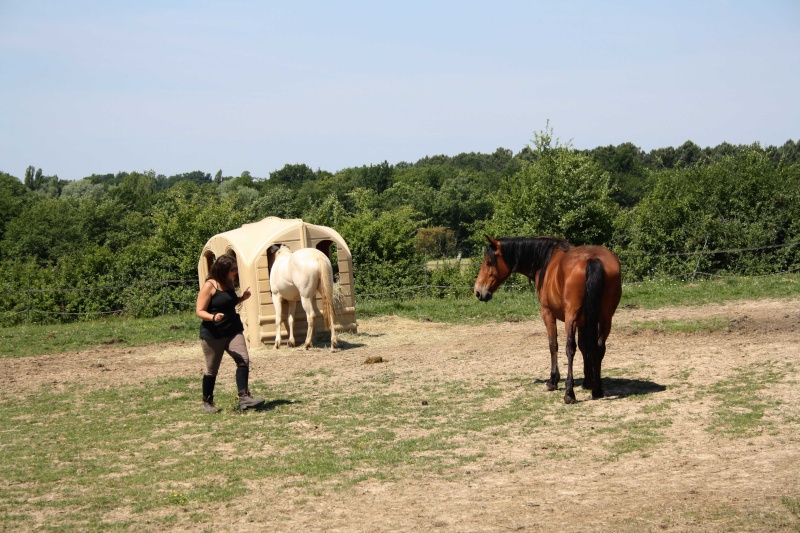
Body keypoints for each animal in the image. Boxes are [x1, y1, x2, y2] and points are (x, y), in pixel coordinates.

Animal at [472, 236, 620, 404]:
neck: (545, 261)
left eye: (489, 262)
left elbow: (553, 345)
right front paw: (588, 382)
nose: (478, 291)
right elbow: (585, 347)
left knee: (570, 348)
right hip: (605, 318)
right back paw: (597, 390)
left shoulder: (548, 314)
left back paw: (569, 393)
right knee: (600, 347)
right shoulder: (585, 321)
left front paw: (553, 381)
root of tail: (592, 259)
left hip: (571, 318)